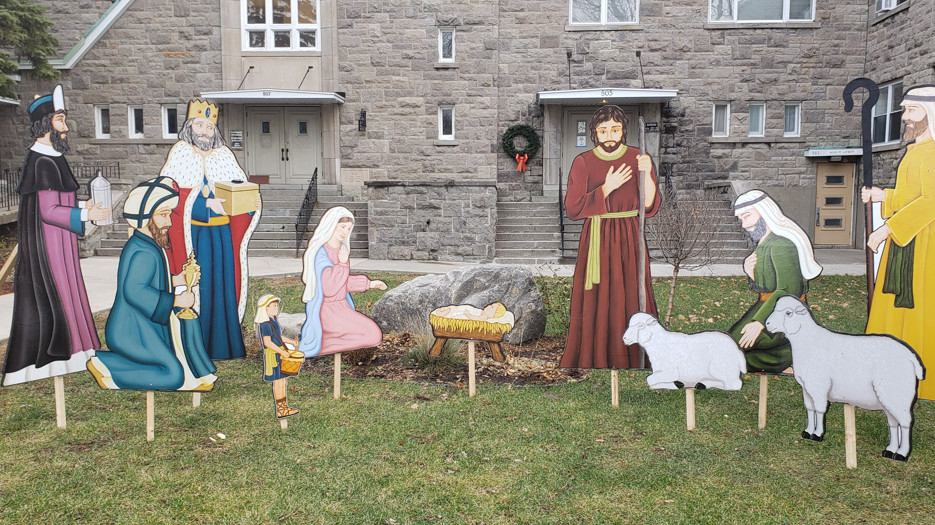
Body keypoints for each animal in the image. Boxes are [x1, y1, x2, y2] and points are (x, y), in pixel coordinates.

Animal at [764, 296, 924, 460]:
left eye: (788, 313)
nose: (767, 324)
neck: (808, 341)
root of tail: (912, 357)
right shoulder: (807, 388)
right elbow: (810, 408)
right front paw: (808, 432)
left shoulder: (819, 386)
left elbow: (820, 410)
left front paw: (818, 434)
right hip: (891, 397)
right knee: (893, 423)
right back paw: (890, 450)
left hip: (897, 395)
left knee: (905, 423)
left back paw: (902, 454)